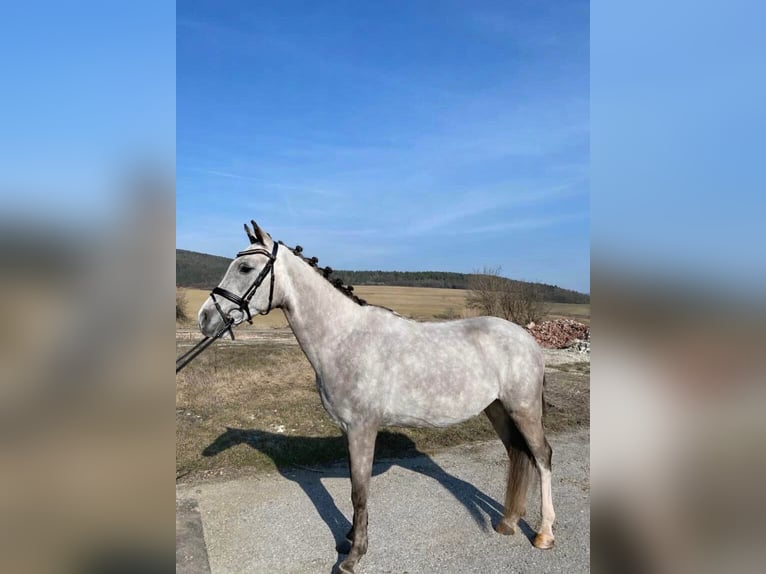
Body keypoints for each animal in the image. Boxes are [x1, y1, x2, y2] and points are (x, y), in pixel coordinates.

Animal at [197, 221, 556, 574]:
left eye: (245, 267)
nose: (205, 318)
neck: (344, 337)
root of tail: (527, 339)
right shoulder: (349, 430)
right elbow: (355, 489)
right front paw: (350, 539)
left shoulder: (362, 429)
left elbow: (359, 492)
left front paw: (354, 556)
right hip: (498, 409)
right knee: (517, 453)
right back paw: (508, 522)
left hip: (524, 409)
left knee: (541, 457)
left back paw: (544, 534)